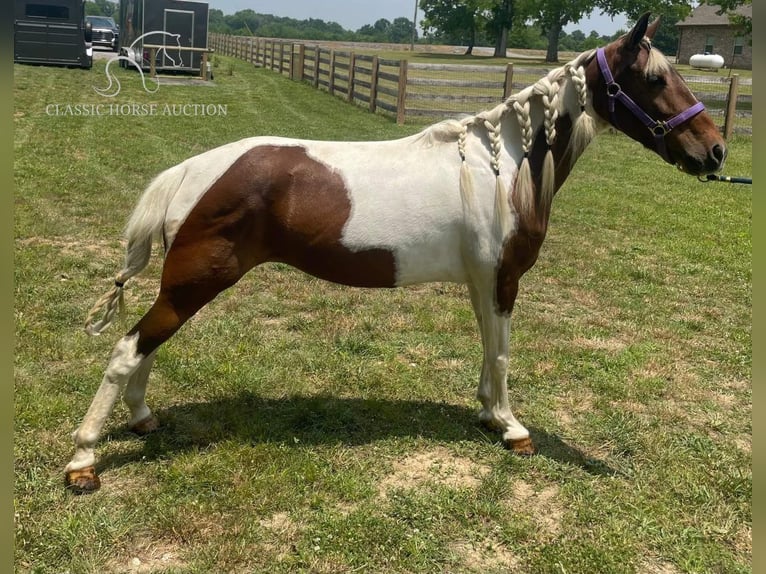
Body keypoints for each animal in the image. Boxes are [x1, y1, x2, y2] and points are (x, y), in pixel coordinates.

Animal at [64, 16, 728, 496]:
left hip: (183, 287)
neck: (502, 165)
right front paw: (512, 428)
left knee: (144, 345)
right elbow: (504, 353)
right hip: (193, 283)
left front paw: (488, 414)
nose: (715, 151)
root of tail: (188, 172)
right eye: (654, 80)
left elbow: (488, 347)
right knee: (128, 350)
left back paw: (142, 419)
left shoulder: (482, 281)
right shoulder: (503, 278)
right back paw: (83, 461)